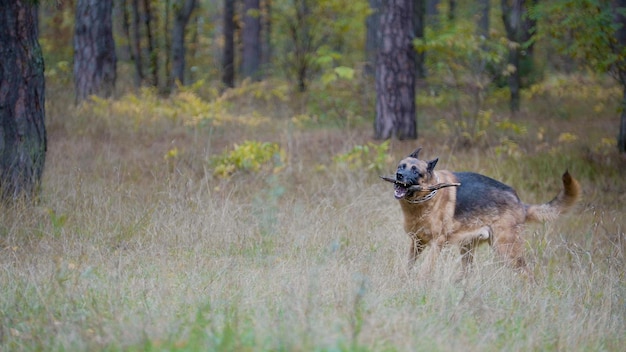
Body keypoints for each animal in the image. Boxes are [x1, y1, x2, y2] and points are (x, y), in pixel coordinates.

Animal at [386, 147, 580, 280]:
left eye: (415, 171)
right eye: (401, 166)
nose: (399, 175)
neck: (425, 198)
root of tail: (519, 203)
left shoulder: (436, 244)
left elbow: (425, 270)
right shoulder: (417, 243)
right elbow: (409, 266)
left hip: (506, 251)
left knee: (528, 275)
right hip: (468, 249)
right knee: (468, 273)